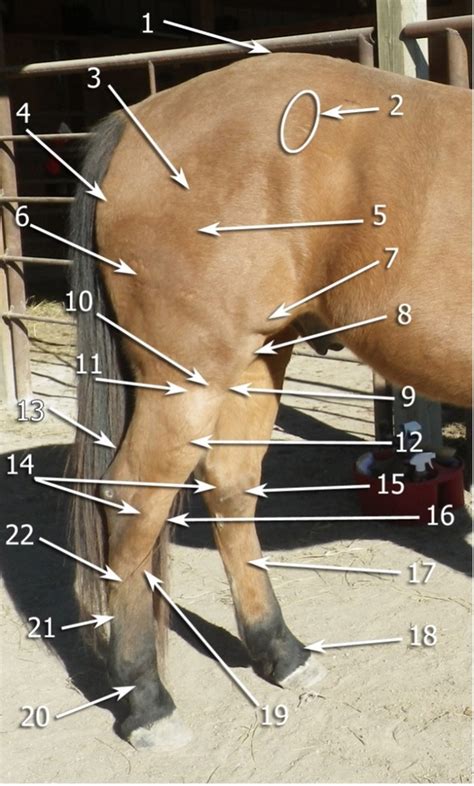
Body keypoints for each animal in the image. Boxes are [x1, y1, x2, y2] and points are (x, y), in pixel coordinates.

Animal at [69, 52, 471, 749]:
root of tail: (137, 119)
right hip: (188, 379)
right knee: (134, 504)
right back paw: (146, 701)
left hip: (256, 359)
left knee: (229, 487)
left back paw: (279, 651)